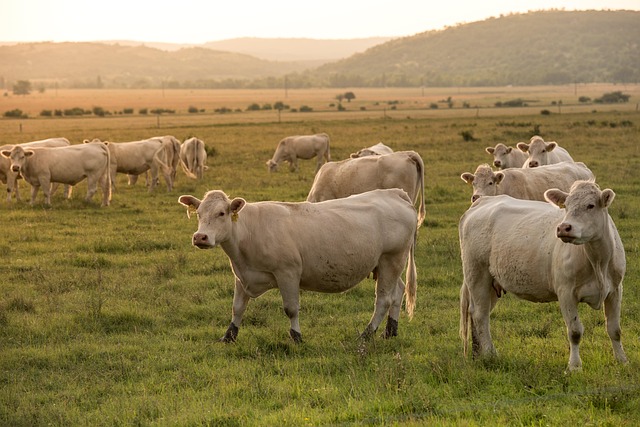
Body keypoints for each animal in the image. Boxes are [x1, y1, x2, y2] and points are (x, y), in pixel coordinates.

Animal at [179, 189, 420, 346]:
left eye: (221, 213)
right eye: (198, 213)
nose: (200, 237)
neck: (249, 231)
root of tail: (394, 193)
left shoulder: (288, 273)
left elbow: (291, 309)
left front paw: (296, 337)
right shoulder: (242, 276)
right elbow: (237, 308)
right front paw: (229, 336)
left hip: (391, 259)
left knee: (383, 299)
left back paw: (367, 334)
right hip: (386, 265)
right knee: (397, 292)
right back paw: (390, 331)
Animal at [460, 181, 632, 372]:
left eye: (590, 205)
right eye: (566, 206)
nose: (564, 227)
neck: (598, 262)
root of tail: (482, 201)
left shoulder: (616, 290)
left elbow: (614, 329)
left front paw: (622, 360)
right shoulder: (566, 292)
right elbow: (575, 331)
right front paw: (574, 366)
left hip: (492, 282)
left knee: (478, 313)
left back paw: (478, 354)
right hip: (477, 273)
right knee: (480, 314)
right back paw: (490, 354)